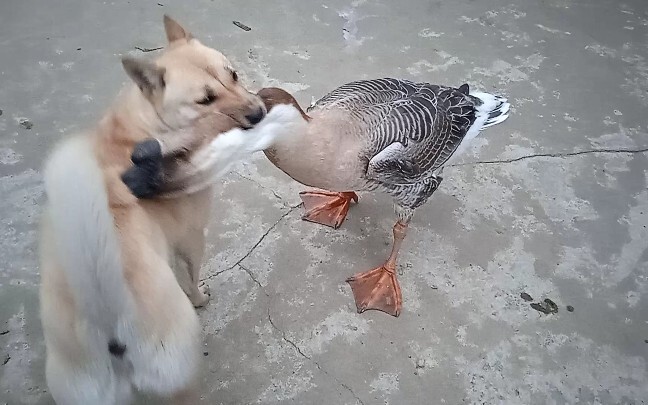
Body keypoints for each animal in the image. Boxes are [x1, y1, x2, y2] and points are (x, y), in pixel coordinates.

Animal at [37, 15, 296, 404]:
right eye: (205, 99)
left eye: (233, 74)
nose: (258, 112)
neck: (147, 123)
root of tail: (104, 311)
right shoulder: (191, 237)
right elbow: (190, 275)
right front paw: (199, 297)